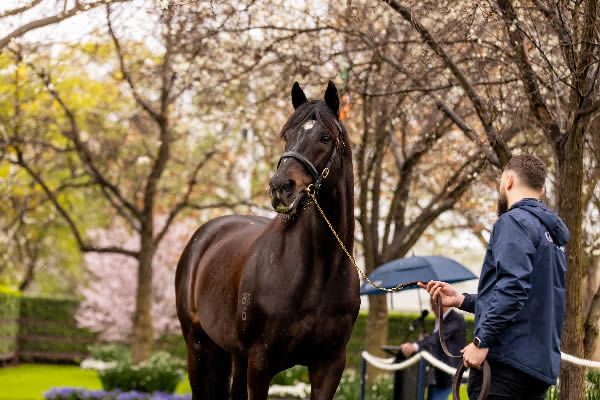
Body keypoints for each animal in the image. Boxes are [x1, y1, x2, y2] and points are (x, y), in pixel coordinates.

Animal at [175, 80, 360, 396]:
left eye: (325, 137)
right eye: (287, 135)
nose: (280, 187)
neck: (319, 272)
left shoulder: (329, 366)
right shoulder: (260, 364)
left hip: (235, 356)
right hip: (198, 348)